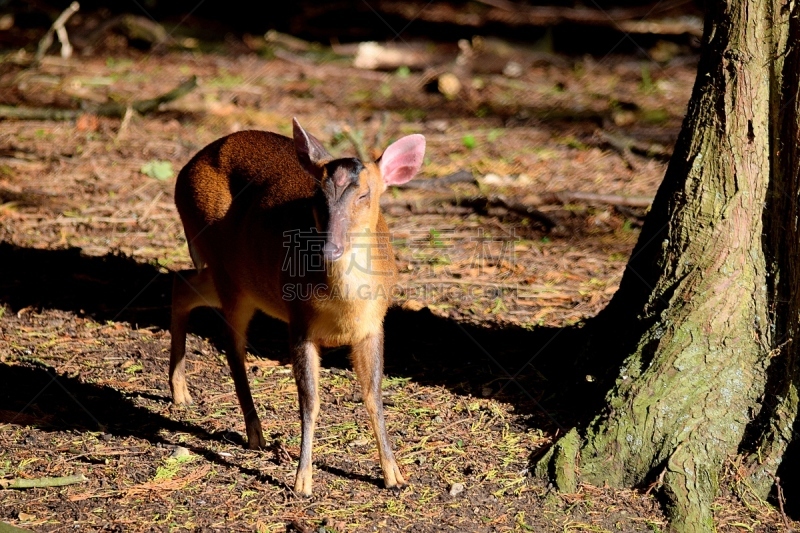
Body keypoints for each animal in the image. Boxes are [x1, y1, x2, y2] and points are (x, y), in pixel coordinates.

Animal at [166, 118, 422, 496]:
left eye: (365, 195)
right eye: (317, 196)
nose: (330, 247)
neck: (346, 309)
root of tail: (186, 168)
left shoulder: (374, 326)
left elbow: (373, 396)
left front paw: (394, 476)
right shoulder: (299, 321)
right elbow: (310, 401)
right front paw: (302, 481)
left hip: (237, 280)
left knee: (180, 284)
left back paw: (180, 393)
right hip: (228, 275)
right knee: (232, 347)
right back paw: (253, 432)